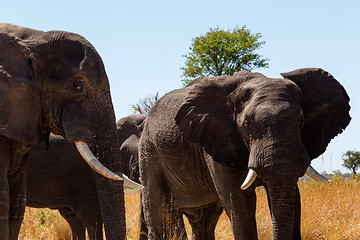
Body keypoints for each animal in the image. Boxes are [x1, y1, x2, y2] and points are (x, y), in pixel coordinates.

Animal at [139, 68, 350, 240]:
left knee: (203, 219)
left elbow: (293, 199)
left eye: (301, 121)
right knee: (159, 212)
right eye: (247, 124)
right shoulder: (217, 139)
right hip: (149, 152)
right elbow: (240, 203)